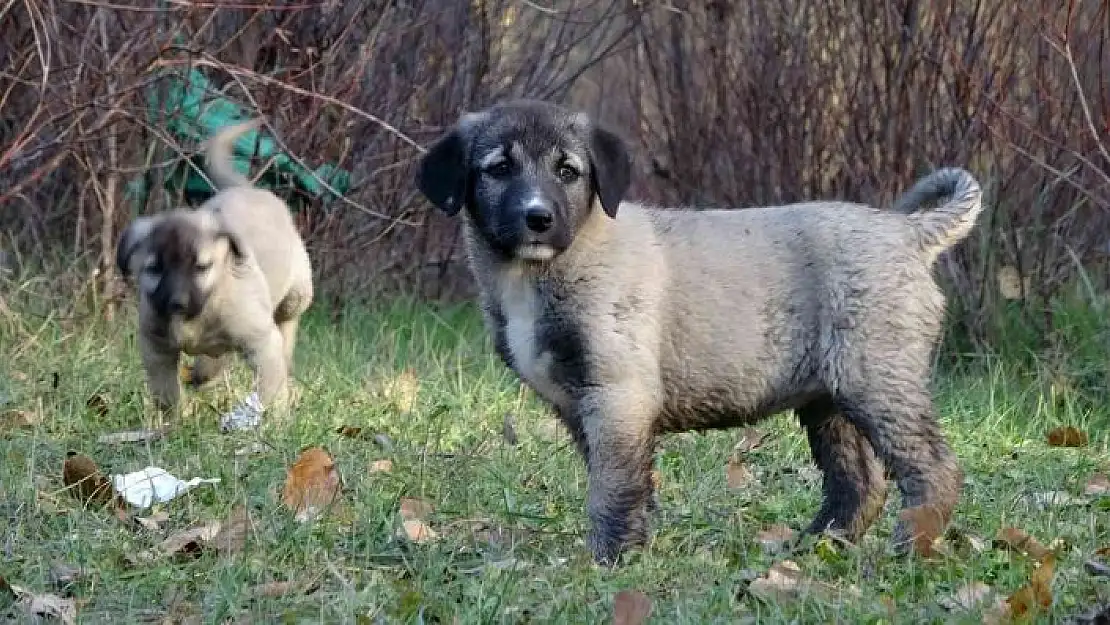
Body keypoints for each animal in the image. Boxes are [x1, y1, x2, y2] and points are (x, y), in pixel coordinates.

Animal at [117, 119, 315, 428]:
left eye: (201, 267)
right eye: (154, 268)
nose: (176, 304)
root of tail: (250, 189)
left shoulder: (261, 342)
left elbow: (270, 389)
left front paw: (274, 420)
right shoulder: (156, 348)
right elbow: (166, 392)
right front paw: (174, 423)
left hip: (296, 295)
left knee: (286, 325)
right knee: (214, 362)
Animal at [415, 98, 981, 568]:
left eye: (567, 171)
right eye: (499, 169)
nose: (538, 218)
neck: (541, 270)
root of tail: (908, 232)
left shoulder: (618, 396)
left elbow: (611, 490)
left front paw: (607, 562)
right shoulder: (585, 410)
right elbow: (629, 486)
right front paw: (634, 550)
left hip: (878, 380)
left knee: (934, 468)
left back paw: (909, 547)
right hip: (829, 397)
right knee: (859, 484)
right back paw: (813, 548)